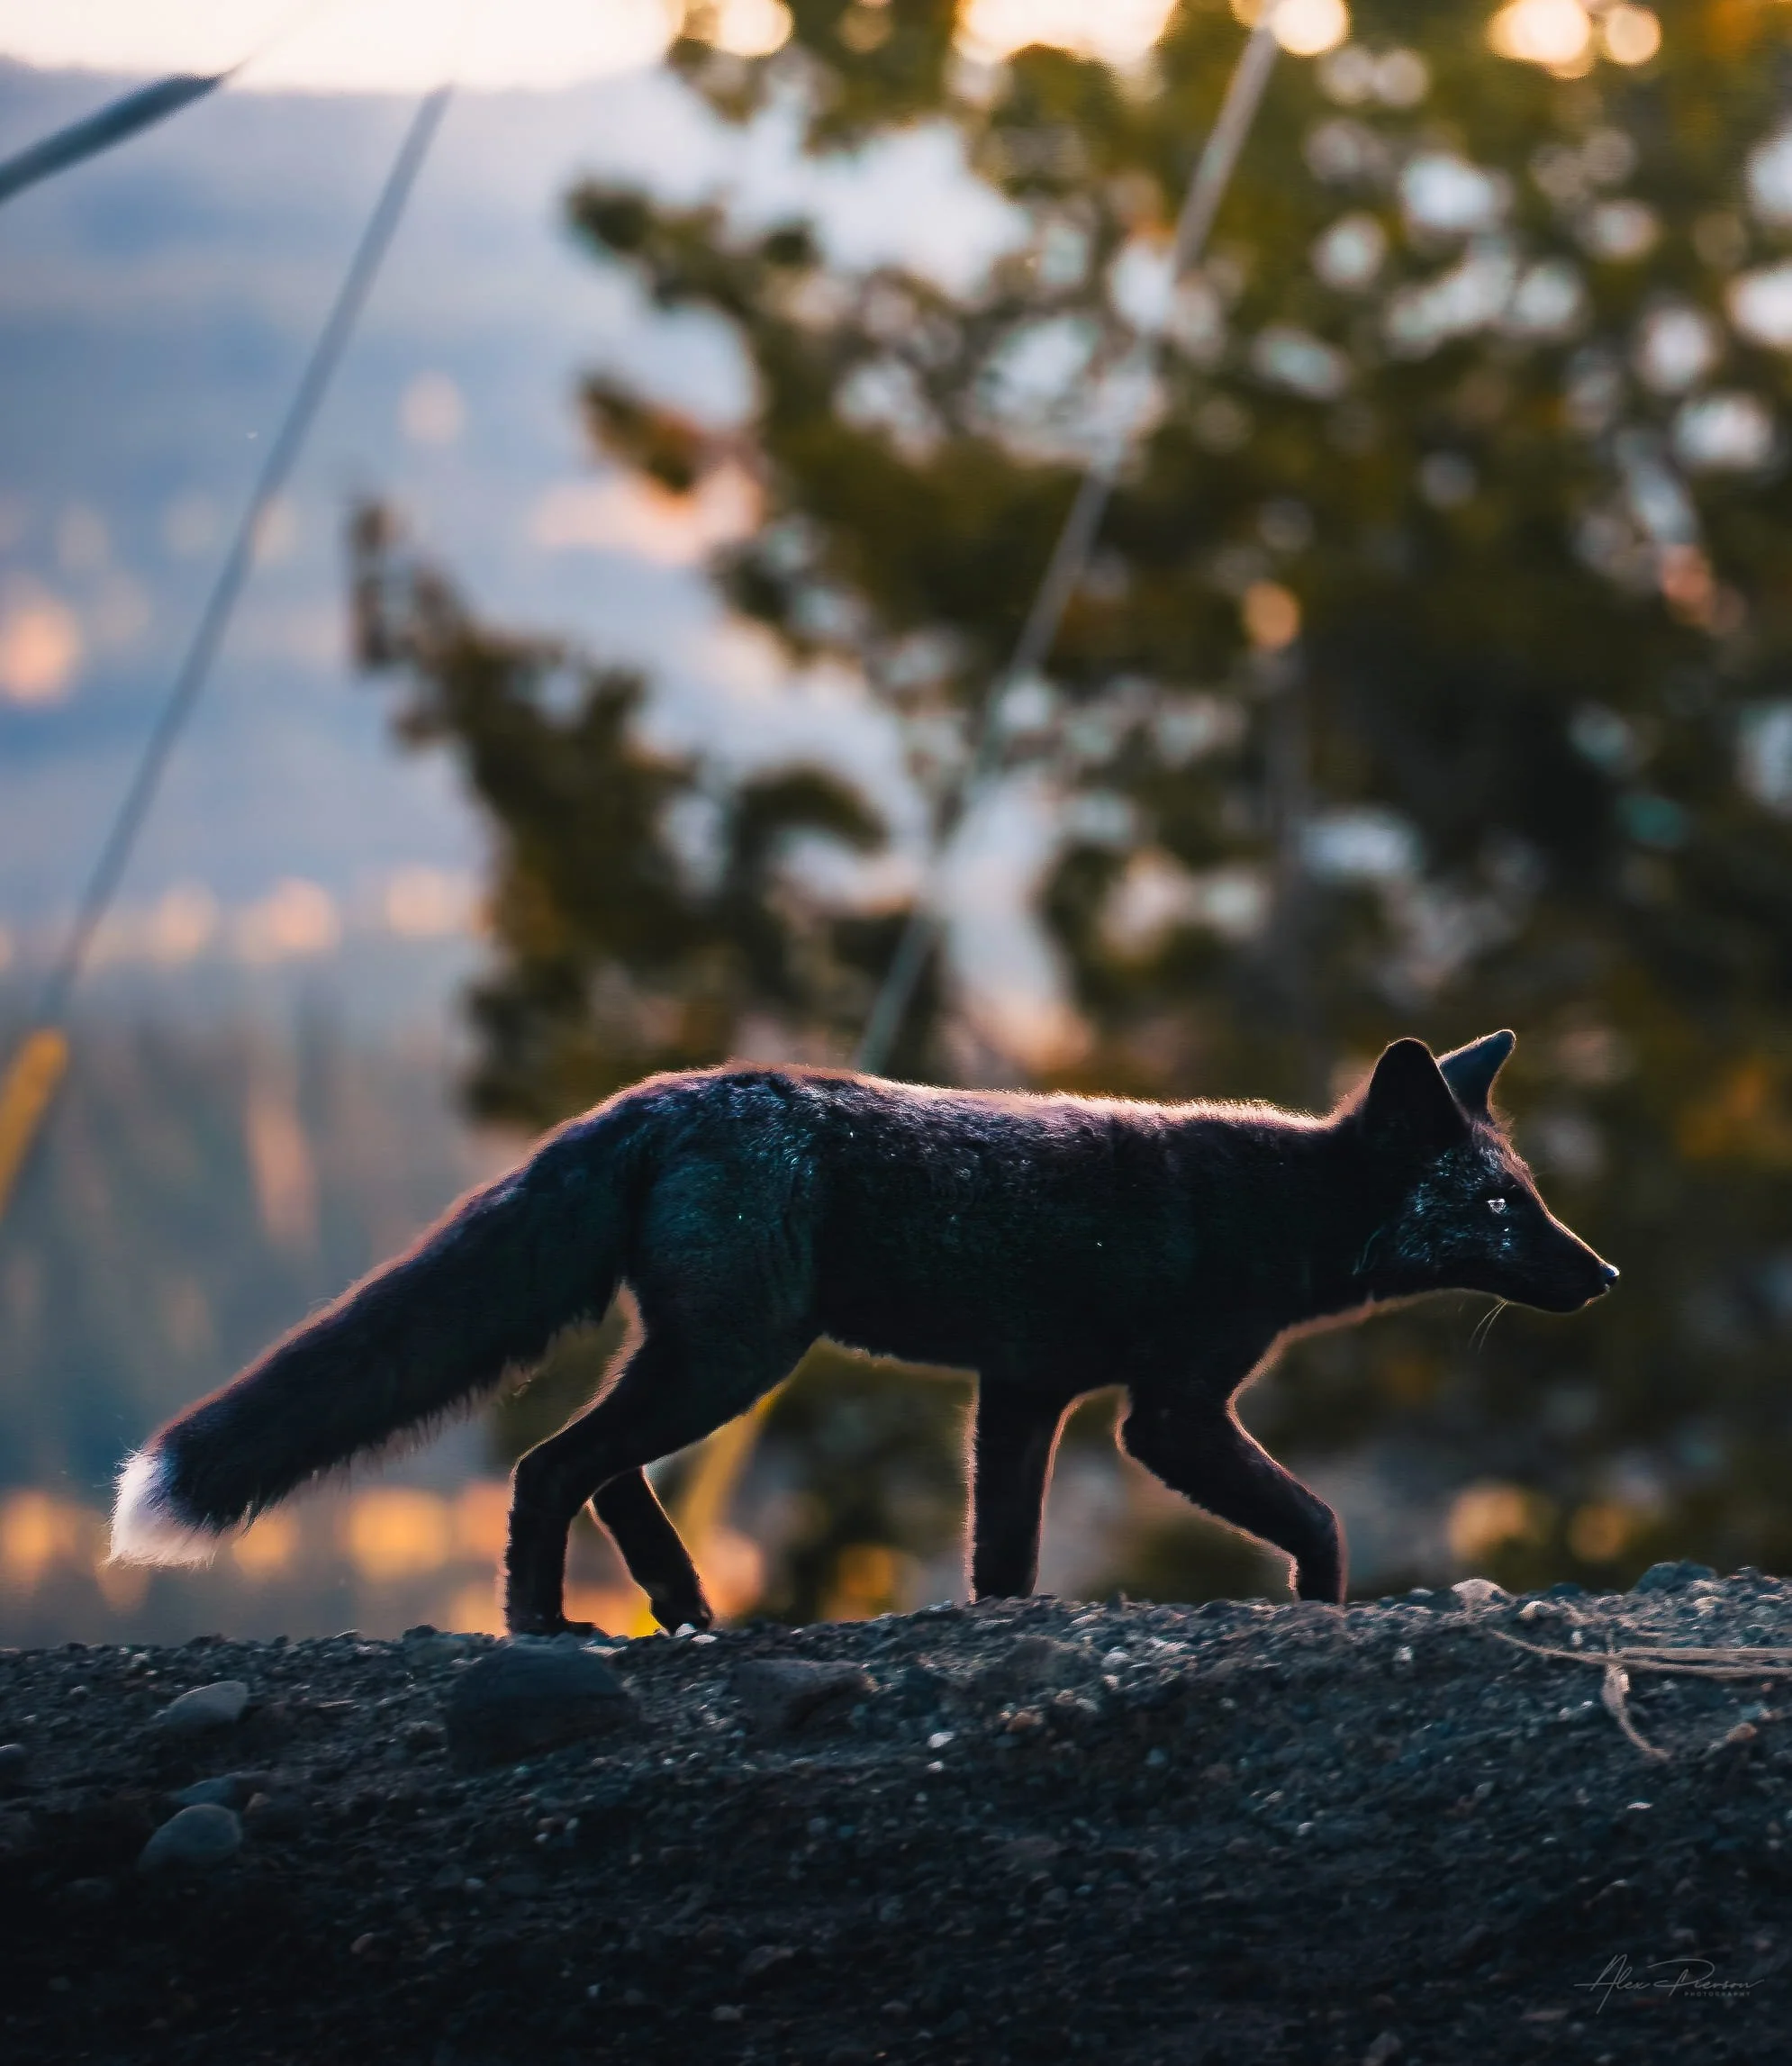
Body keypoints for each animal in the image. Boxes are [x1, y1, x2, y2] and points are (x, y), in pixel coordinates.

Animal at [111, 1029, 1616, 1632]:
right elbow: (1318, 1518)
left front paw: (1000, 1623)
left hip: (704, 1354)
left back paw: (678, 1601)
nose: (1602, 1272)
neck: (1278, 1202)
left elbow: (1001, 1558)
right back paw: (543, 1624)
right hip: (737, 1354)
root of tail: (663, 1094)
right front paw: (1320, 1604)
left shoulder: (1023, 1393)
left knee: (602, 1465)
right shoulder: (1169, 1410)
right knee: (551, 1464)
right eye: (1497, 1203)